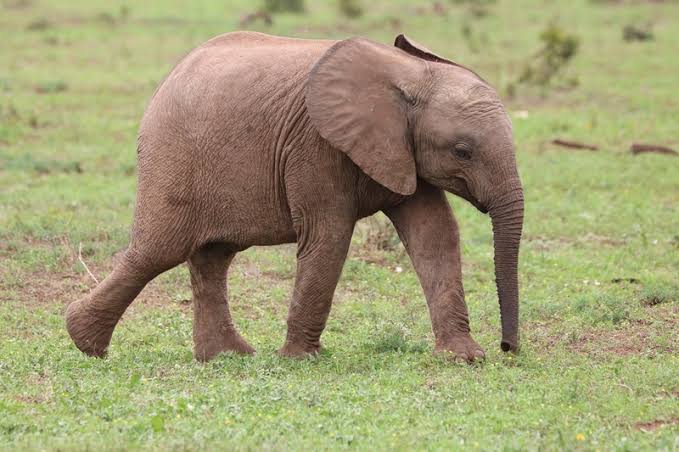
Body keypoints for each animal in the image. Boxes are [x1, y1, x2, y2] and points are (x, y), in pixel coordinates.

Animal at [66, 30, 524, 364]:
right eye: (462, 151)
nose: (508, 349)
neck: (410, 75)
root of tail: (172, 74)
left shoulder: (403, 152)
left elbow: (435, 235)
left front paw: (465, 358)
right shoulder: (316, 145)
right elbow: (329, 236)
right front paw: (300, 360)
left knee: (212, 257)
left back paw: (228, 356)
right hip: (171, 154)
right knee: (157, 251)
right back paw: (84, 342)